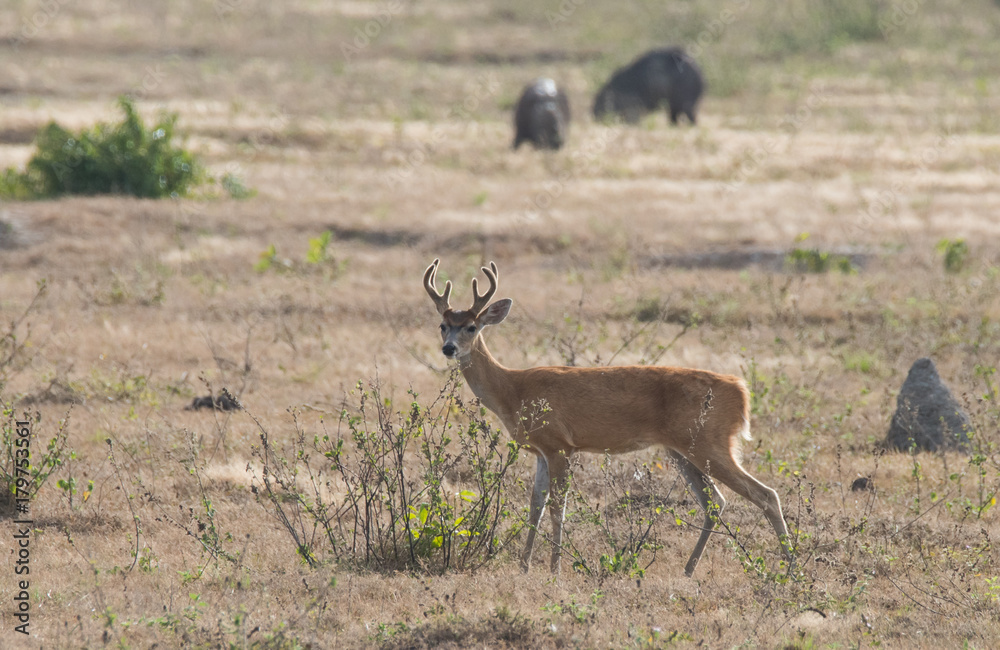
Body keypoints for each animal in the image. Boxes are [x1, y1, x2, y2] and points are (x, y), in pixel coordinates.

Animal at [423, 259, 792, 576]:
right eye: (443, 325)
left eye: (471, 327)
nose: (449, 349)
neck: (513, 390)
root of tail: (741, 391)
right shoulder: (541, 450)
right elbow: (535, 505)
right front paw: (524, 567)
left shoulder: (560, 444)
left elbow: (557, 508)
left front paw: (554, 569)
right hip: (683, 450)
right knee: (715, 502)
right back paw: (689, 570)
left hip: (709, 442)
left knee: (765, 495)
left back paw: (791, 567)